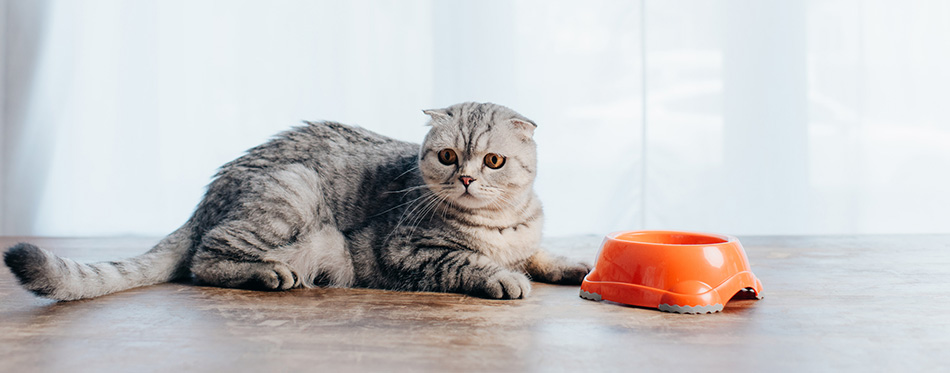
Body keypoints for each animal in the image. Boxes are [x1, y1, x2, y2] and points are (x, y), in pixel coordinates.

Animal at [3, 101, 592, 300]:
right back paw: (269, 274)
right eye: (447, 156)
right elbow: (471, 262)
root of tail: (205, 199)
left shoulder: (527, 240)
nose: (467, 179)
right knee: (205, 260)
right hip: (292, 189)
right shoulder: (410, 250)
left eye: (492, 161)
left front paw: (576, 266)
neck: (500, 221)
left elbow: (543, 255)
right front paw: (503, 277)